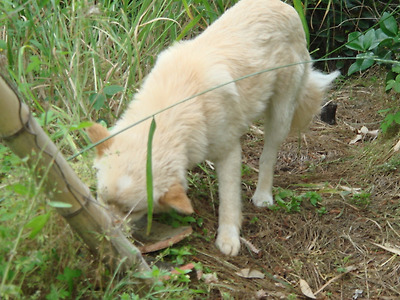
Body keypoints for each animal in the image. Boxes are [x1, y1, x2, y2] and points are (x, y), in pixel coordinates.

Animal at [87, 0, 338, 255]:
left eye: (133, 211)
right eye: (101, 198)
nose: (105, 237)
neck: (172, 107)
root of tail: (285, 6)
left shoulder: (228, 152)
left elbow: (229, 200)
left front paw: (228, 239)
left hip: (280, 116)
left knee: (268, 155)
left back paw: (263, 196)